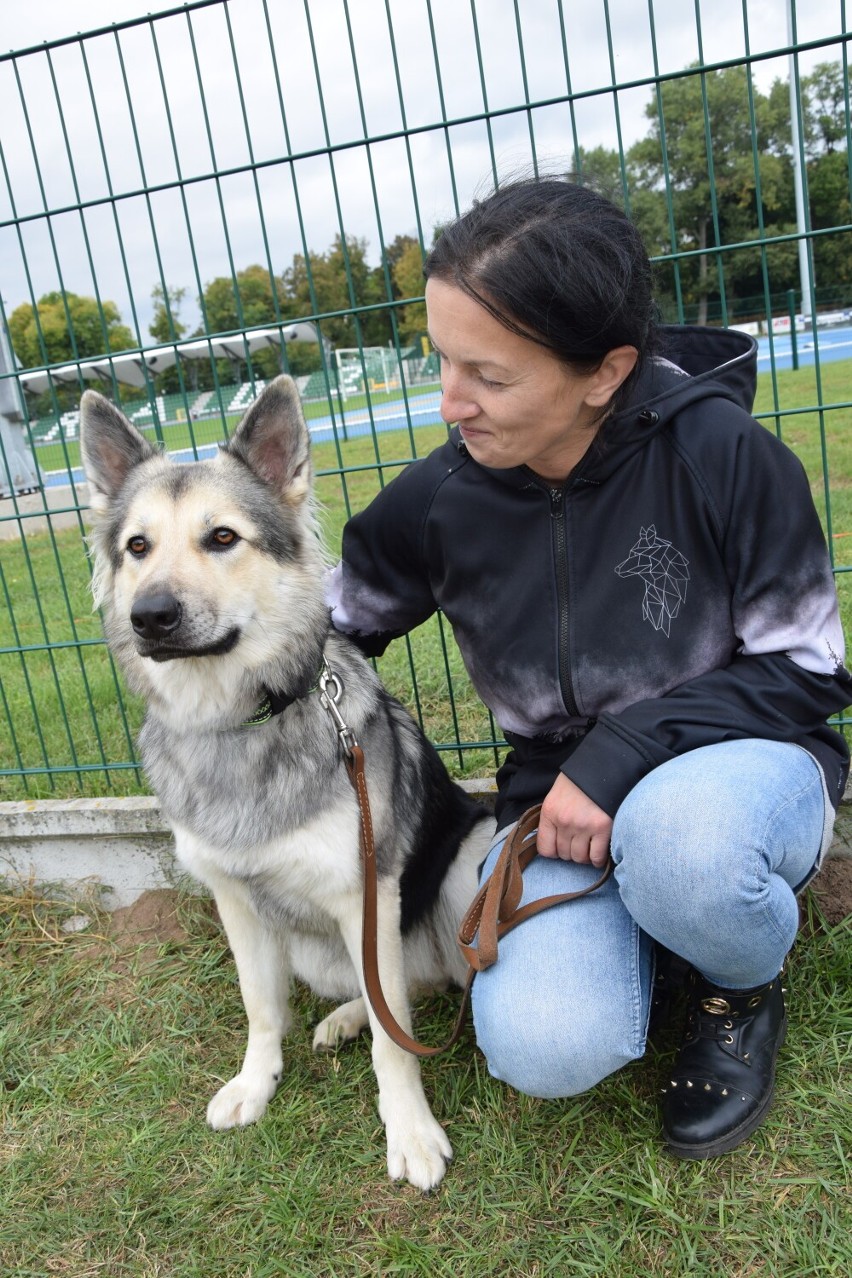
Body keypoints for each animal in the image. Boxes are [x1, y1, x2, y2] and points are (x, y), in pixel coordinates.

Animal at [80, 375, 495, 1185]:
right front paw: (256, 1083)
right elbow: (261, 1007)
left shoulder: (366, 894)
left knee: (420, 986)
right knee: (387, 989)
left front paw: (409, 1130)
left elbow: (395, 1042)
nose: (150, 616)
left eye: (222, 538)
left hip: (470, 857)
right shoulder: (237, 903)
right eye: (137, 547)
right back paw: (341, 1017)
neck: (240, 723)